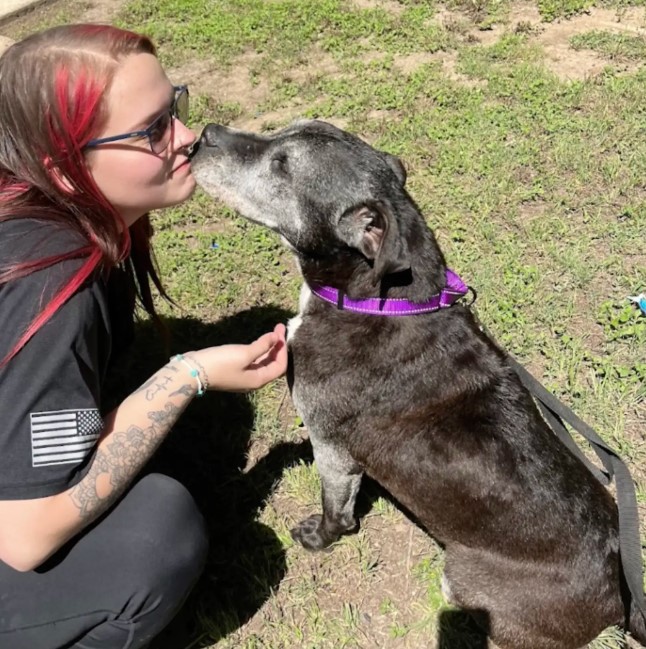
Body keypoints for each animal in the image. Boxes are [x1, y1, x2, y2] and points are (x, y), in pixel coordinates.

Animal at [191, 119, 646, 644]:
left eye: (282, 165)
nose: (204, 133)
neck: (382, 300)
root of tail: (619, 599)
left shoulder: (332, 447)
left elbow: (336, 510)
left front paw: (319, 538)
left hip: (462, 577)